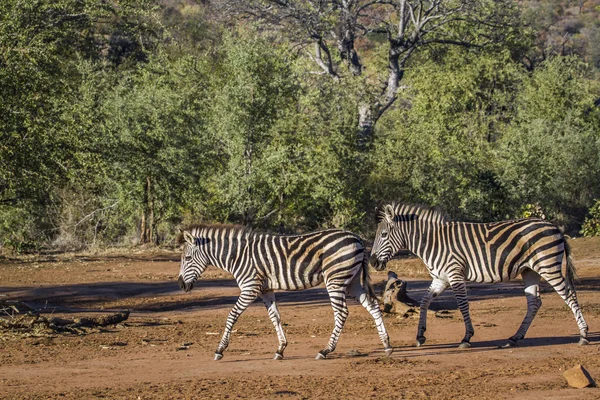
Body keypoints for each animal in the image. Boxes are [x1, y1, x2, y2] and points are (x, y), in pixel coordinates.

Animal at [177, 225, 394, 360]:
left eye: (187, 258)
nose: (180, 284)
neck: (238, 256)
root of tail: (356, 237)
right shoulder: (265, 289)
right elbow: (276, 317)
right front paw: (280, 349)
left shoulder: (250, 287)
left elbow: (232, 315)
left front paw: (220, 350)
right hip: (352, 282)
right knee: (374, 306)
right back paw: (387, 345)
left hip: (335, 279)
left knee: (341, 313)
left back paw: (325, 350)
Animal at [368, 203, 588, 346]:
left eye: (384, 235)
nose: (372, 262)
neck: (432, 242)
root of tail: (554, 227)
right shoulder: (440, 278)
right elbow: (424, 302)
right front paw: (420, 336)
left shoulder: (454, 274)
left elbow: (463, 304)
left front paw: (467, 337)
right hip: (530, 271)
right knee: (534, 302)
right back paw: (514, 338)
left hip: (548, 265)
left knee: (570, 295)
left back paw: (584, 336)